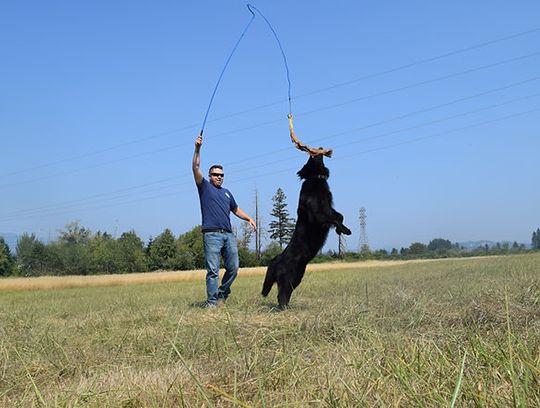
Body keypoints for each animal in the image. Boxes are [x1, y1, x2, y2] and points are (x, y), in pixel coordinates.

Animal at [262, 155, 354, 308]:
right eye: (311, 158)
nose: (317, 152)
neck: (316, 178)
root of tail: (276, 260)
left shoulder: (329, 206)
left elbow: (339, 216)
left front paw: (342, 229)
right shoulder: (317, 210)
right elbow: (332, 219)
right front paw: (343, 230)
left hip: (297, 276)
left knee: (285, 293)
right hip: (289, 277)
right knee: (281, 294)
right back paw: (284, 308)